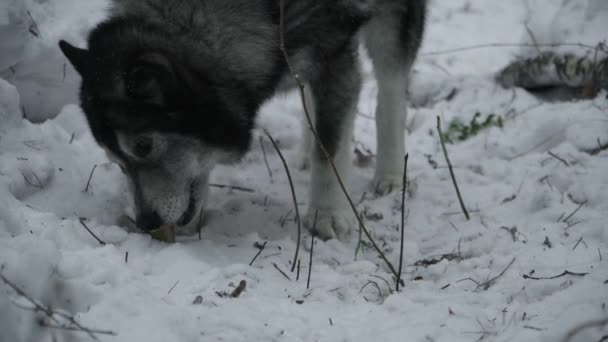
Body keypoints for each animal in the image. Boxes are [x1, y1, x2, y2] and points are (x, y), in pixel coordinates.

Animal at [59, 0, 426, 239]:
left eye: (143, 146)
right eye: (117, 162)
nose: (146, 223)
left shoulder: (333, 50)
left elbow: (330, 147)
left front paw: (327, 214)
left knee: (390, 90)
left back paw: (391, 174)